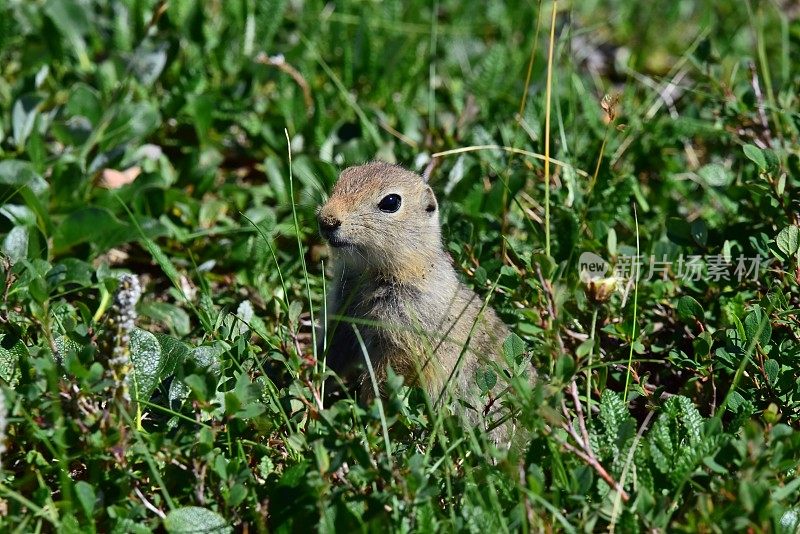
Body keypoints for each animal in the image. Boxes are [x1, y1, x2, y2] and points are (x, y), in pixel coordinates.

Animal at [316, 162, 510, 432]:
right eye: (342, 177)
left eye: (391, 202)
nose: (326, 220)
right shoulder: (342, 316)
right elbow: (332, 350)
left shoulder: (405, 340)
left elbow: (388, 379)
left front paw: (371, 421)